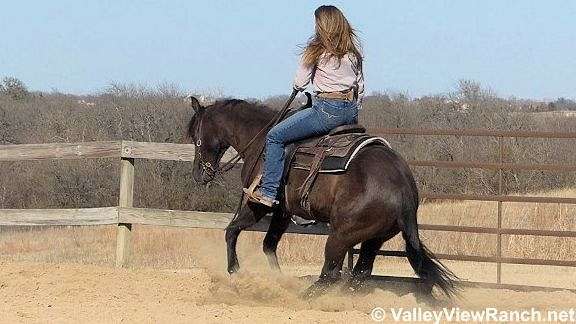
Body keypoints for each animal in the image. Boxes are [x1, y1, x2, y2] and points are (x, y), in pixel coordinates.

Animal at [187, 96, 456, 298]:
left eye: (194, 136)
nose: (199, 174)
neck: (262, 140)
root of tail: (404, 189)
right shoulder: (283, 210)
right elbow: (268, 244)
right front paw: (276, 278)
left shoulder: (259, 203)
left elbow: (232, 230)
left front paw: (234, 271)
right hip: (374, 238)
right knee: (359, 274)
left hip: (341, 235)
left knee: (330, 274)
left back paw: (302, 297)